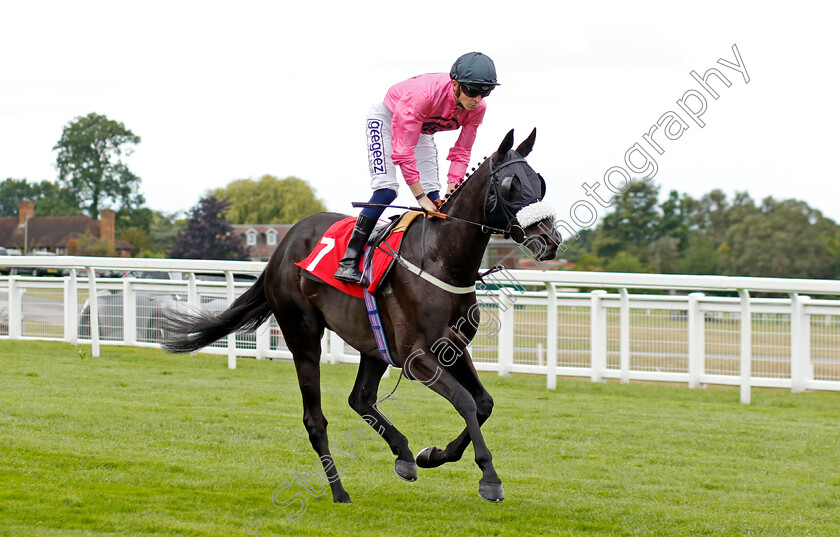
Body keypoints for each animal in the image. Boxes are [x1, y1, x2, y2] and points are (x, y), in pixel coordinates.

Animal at [163, 129, 556, 502]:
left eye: (539, 182)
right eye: (511, 186)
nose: (550, 240)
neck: (441, 260)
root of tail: (282, 248)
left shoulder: (452, 347)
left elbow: (483, 403)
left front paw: (433, 455)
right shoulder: (416, 356)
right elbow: (464, 401)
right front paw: (489, 478)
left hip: (373, 343)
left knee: (360, 398)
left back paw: (404, 454)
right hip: (302, 334)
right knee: (315, 419)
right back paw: (339, 492)